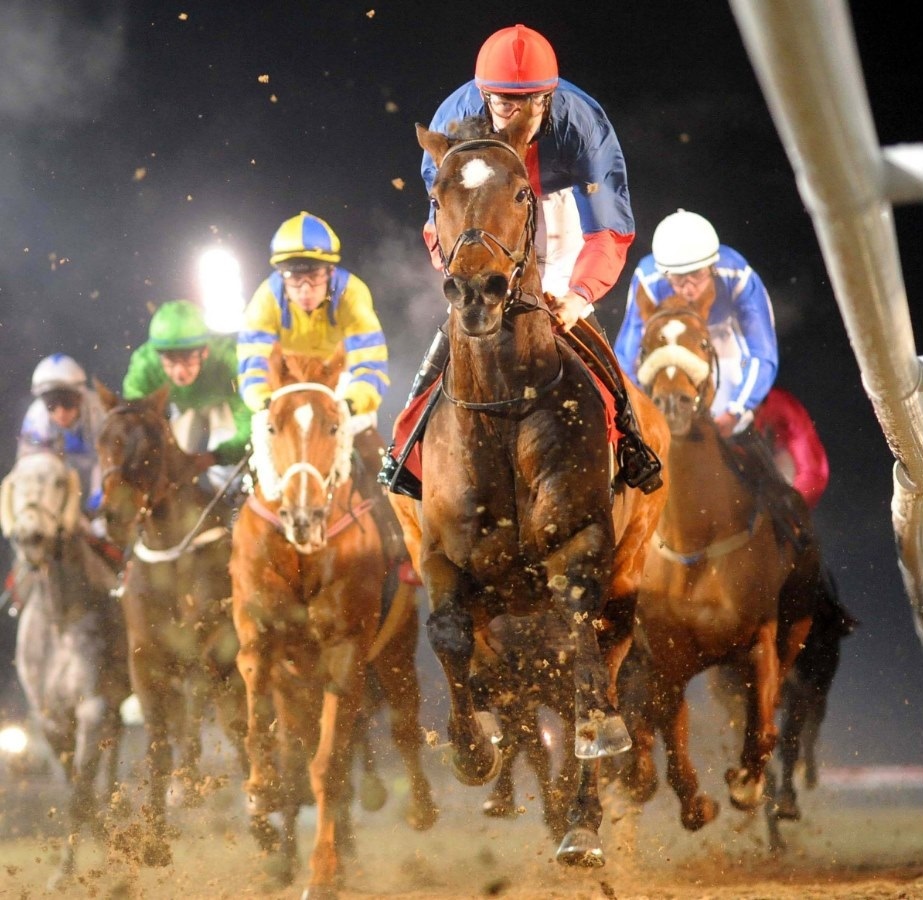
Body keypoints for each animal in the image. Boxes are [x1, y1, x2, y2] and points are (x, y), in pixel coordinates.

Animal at [0, 454, 131, 888]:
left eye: (58, 481)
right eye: (16, 482)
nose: (30, 536)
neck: (61, 616)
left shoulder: (92, 706)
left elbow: (81, 792)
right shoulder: (51, 719)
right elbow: (78, 789)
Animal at [229, 346, 434, 900]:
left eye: (332, 424)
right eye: (272, 425)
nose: (302, 516)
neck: (302, 554)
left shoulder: (345, 650)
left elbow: (330, 765)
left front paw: (322, 873)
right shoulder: (259, 634)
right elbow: (255, 683)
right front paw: (260, 787)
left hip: (395, 648)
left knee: (404, 722)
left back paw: (419, 809)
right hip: (299, 684)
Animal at [394, 112, 668, 864]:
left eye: (521, 193)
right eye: (437, 197)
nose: (476, 291)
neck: (502, 406)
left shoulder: (579, 542)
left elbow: (581, 659)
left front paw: (598, 741)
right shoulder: (439, 552)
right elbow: (449, 634)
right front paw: (470, 752)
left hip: (627, 573)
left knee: (599, 659)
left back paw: (581, 819)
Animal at [620, 288, 824, 828]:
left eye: (701, 342)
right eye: (647, 344)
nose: (672, 403)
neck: (696, 540)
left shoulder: (758, 638)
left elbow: (763, 722)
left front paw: (747, 782)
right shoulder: (663, 656)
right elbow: (668, 729)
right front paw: (693, 800)